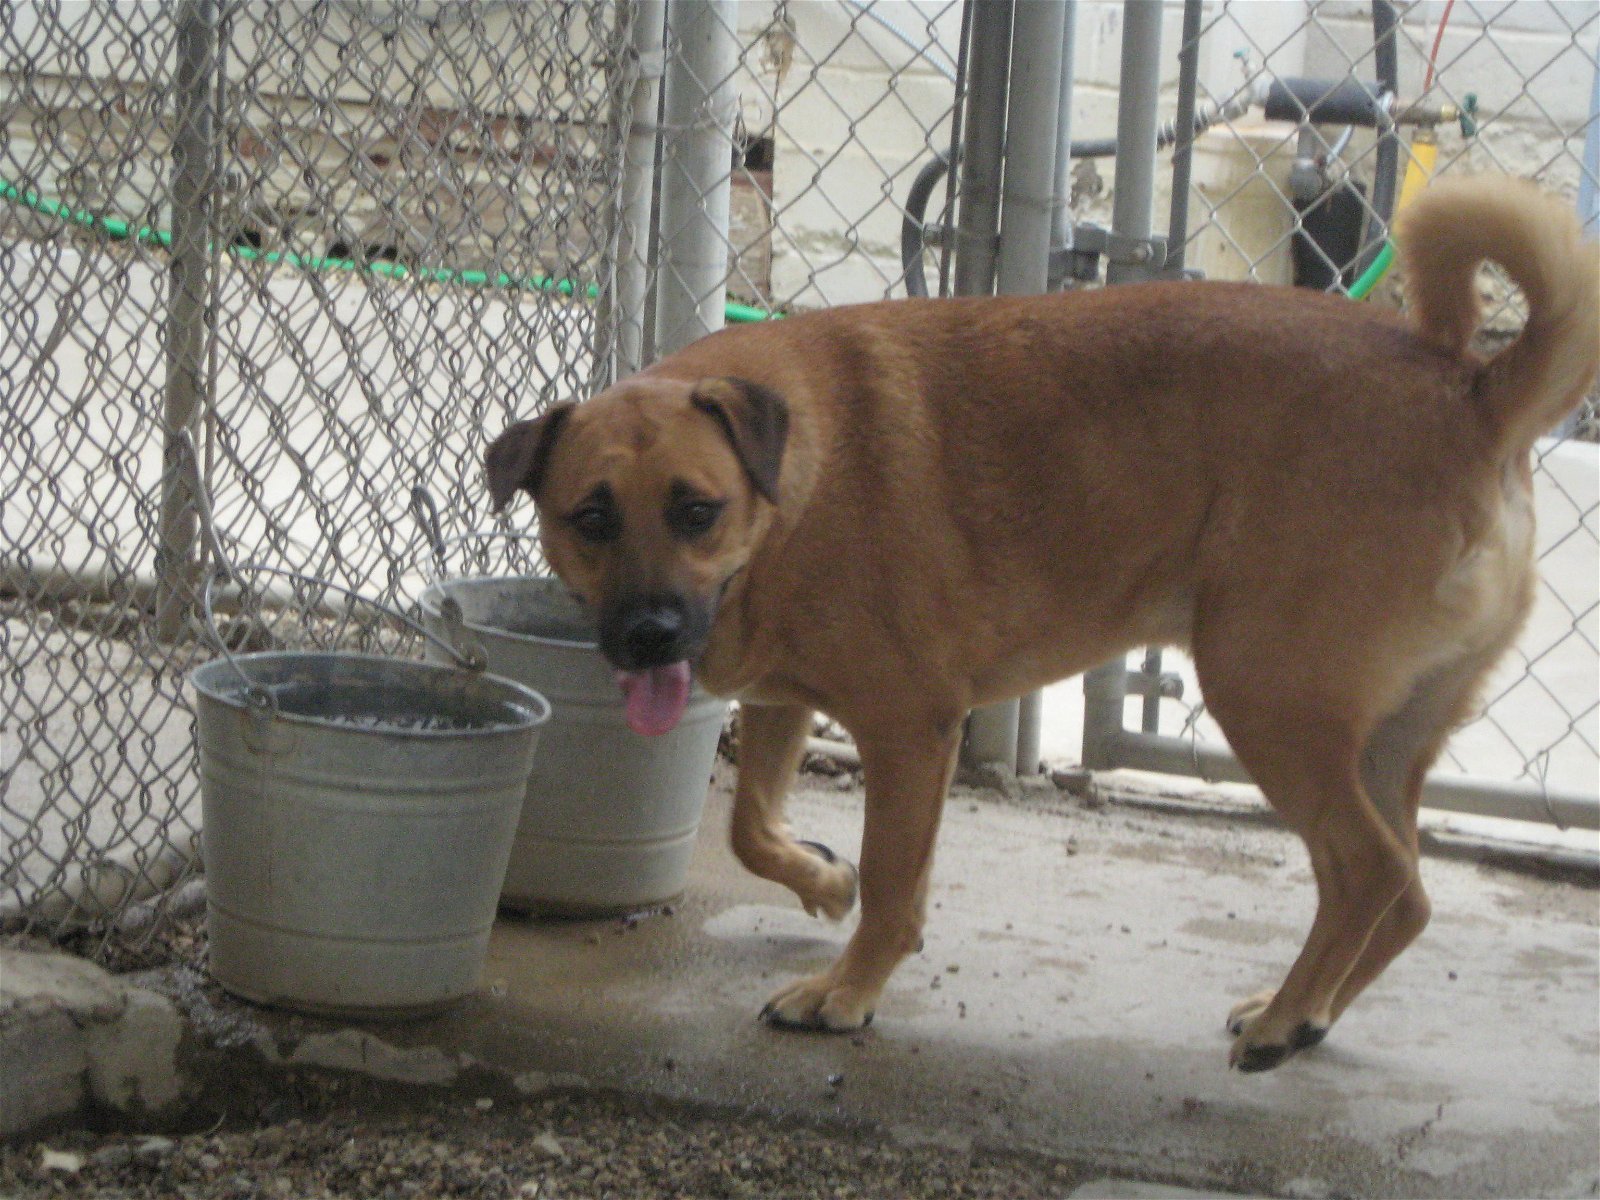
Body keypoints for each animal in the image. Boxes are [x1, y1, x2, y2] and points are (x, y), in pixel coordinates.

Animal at [486, 178, 1600, 1068]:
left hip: (1268, 698)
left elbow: (893, 880)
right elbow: (752, 827)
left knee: (1368, 870)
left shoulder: (909, 727)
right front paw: (821, 884)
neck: (790, 481)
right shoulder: (783, 702)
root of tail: (1473, 393)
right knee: (1406, 890)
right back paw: (1306, 1012)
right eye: (591, 518)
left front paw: (847, 991)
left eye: (695, 510)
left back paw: (1288, 1019)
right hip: (1380, 738)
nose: (648, 634)